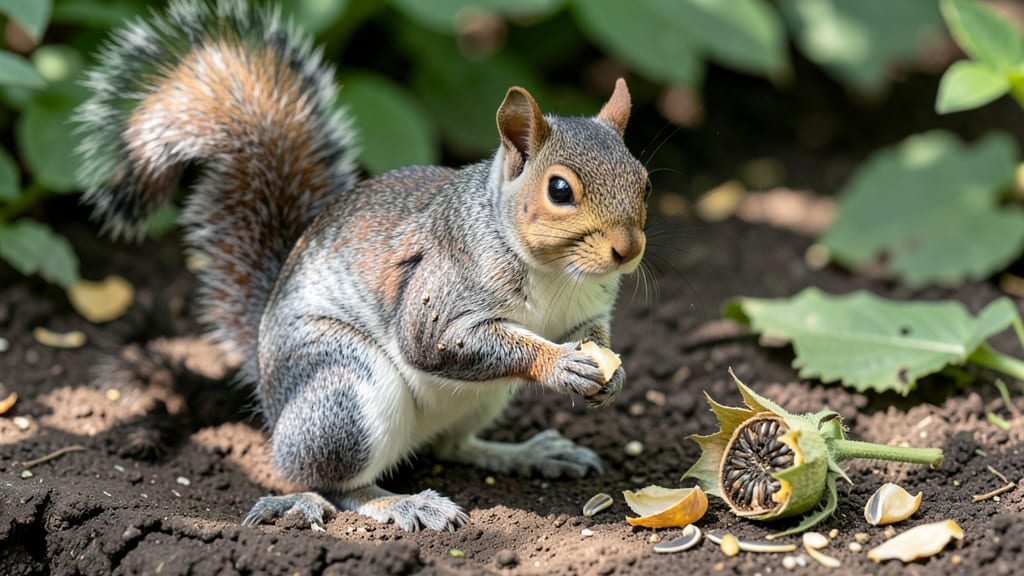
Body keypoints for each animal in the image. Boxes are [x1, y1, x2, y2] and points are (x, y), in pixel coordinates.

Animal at [75, 0, 649, 532]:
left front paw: (610, 375)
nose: (628, 251)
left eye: (643, 181)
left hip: (481, 399)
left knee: (451, 447)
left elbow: (593, 337)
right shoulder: (440, 290)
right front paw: (559, 365)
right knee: (332, 481)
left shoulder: (587, 312)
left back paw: (531, 454)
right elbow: (436, 342)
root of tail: (268, 388)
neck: (555, 275)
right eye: (560, 190)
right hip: (345, 391)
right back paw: (402, 503)